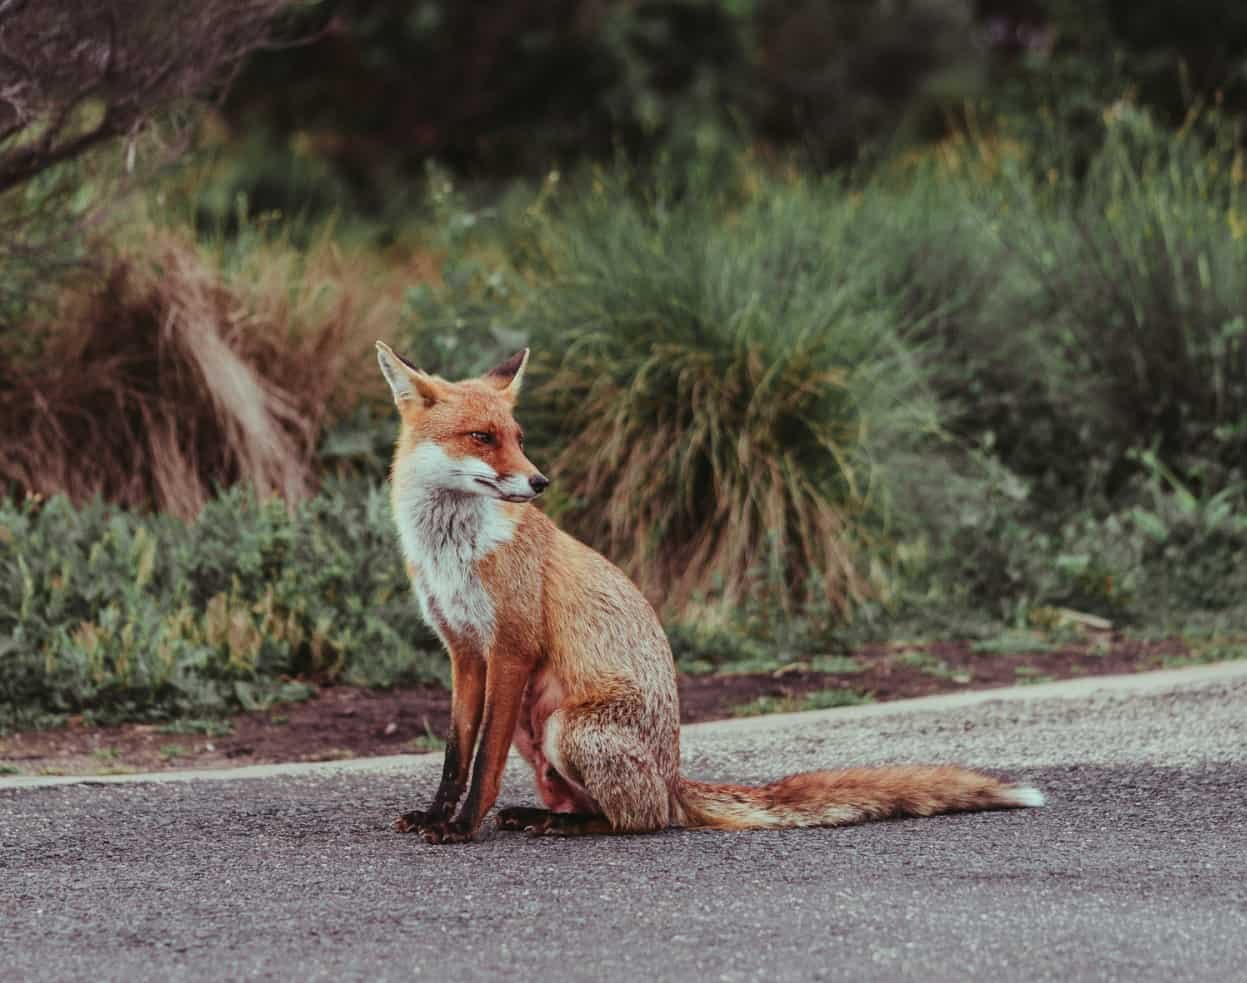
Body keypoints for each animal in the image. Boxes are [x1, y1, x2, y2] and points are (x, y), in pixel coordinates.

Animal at [375, 340, 1045, 843]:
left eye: (516, 435)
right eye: (482, 437)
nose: (540, 481)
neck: (452, 553)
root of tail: (675, 780)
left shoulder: (511, 647)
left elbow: (483, 761)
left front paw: (463, 827)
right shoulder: (465, 652)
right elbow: (457, 753)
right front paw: (437, 816)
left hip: (568, 728)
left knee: (639, 819)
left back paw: (564, 824)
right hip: (541, 740)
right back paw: (539, 814)